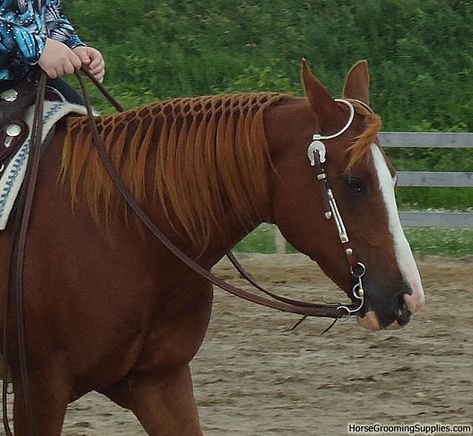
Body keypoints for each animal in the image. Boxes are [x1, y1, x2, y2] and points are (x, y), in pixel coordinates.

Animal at [0, 59, 424, 434]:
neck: (121, 231)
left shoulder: (159, 382)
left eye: (393, 177)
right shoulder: (41, 389)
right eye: (356, 182)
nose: (408, 297)